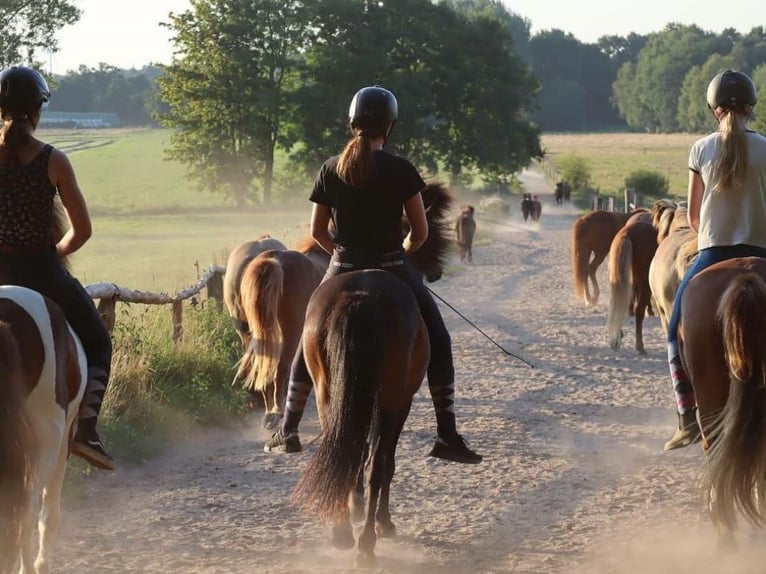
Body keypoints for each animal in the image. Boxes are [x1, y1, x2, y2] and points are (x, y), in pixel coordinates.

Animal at [225, 236, 328, 430]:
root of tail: (273, 260)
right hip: (290, 331)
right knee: (282, 366)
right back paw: (277, 411)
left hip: (250, 332)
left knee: (259, 364)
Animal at [292, 181, 452, 568]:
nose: (437, 271)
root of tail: (361, 296)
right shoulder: (398, 402)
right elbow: (385, 462)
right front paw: (383, 521)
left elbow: (358, 449)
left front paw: (356, 507)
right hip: (392, 398)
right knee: (377, 465)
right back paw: (366, 543)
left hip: (328, 392)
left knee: (343, 447)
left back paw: (342, 534)